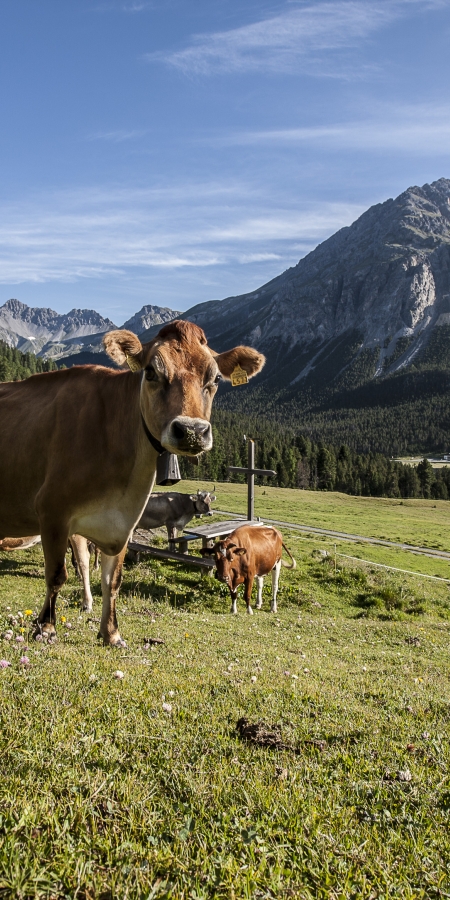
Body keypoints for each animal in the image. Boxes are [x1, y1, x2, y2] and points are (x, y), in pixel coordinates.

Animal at [0, 320, 264, 644]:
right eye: (150, 372)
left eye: (215, 378)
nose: (191, 431)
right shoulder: (52, 510)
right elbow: (57, 574)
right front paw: (46, 628)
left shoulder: (123, 523)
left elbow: (112, 580)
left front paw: (111, 633)